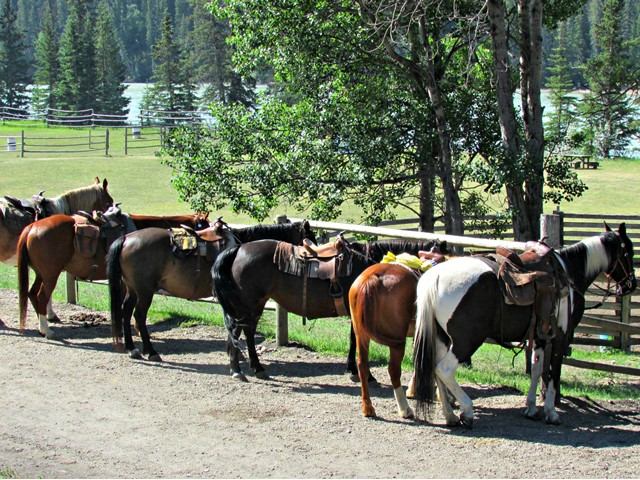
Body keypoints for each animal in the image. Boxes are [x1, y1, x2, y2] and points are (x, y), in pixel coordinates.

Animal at [17, 205, 209, 339]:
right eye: (204, 225)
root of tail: (32, 227)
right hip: (51, 274)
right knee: (41, 296)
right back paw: (47, 331)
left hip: (41, 273)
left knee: (33, 294)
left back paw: (43, 327)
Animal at [106, 221, 316, 362]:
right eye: (310, 239)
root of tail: (126, 238)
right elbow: (234, 324)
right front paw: (238, 354)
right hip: (144, 291)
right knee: (138, 316)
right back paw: (150, 352)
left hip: (133, 289)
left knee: (126, 312)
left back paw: (132, 349)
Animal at [213, 238, 445, 381]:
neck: (368, 266)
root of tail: (238, 249)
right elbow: (357, 341)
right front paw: (361, 374)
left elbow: (354, 340)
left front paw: (354, 370)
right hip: (249, 304)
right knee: (242, 332)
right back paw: (246, 369)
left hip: (251, 304)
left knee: (242, 332)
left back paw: (246, 368)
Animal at [348, 250, 446, 419]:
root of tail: (371, 279)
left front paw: (413, 389)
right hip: (396, 343)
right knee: (393, 370)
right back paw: (405, 409)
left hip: (361, 335)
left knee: (362, 365)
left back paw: (368, 408)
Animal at [412, 223, 636, 428]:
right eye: (628, 251)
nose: (631, 285)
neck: (570, 274)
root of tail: (435, 276)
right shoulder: (561, 336)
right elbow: (553, 372)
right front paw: (551, 412)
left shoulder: (540, 336)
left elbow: (536, 369)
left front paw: (531, 408)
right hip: (466, 340)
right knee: (444, 369)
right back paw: (467, 411)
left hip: (442, 337)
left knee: (435, 369)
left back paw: (450, 415)